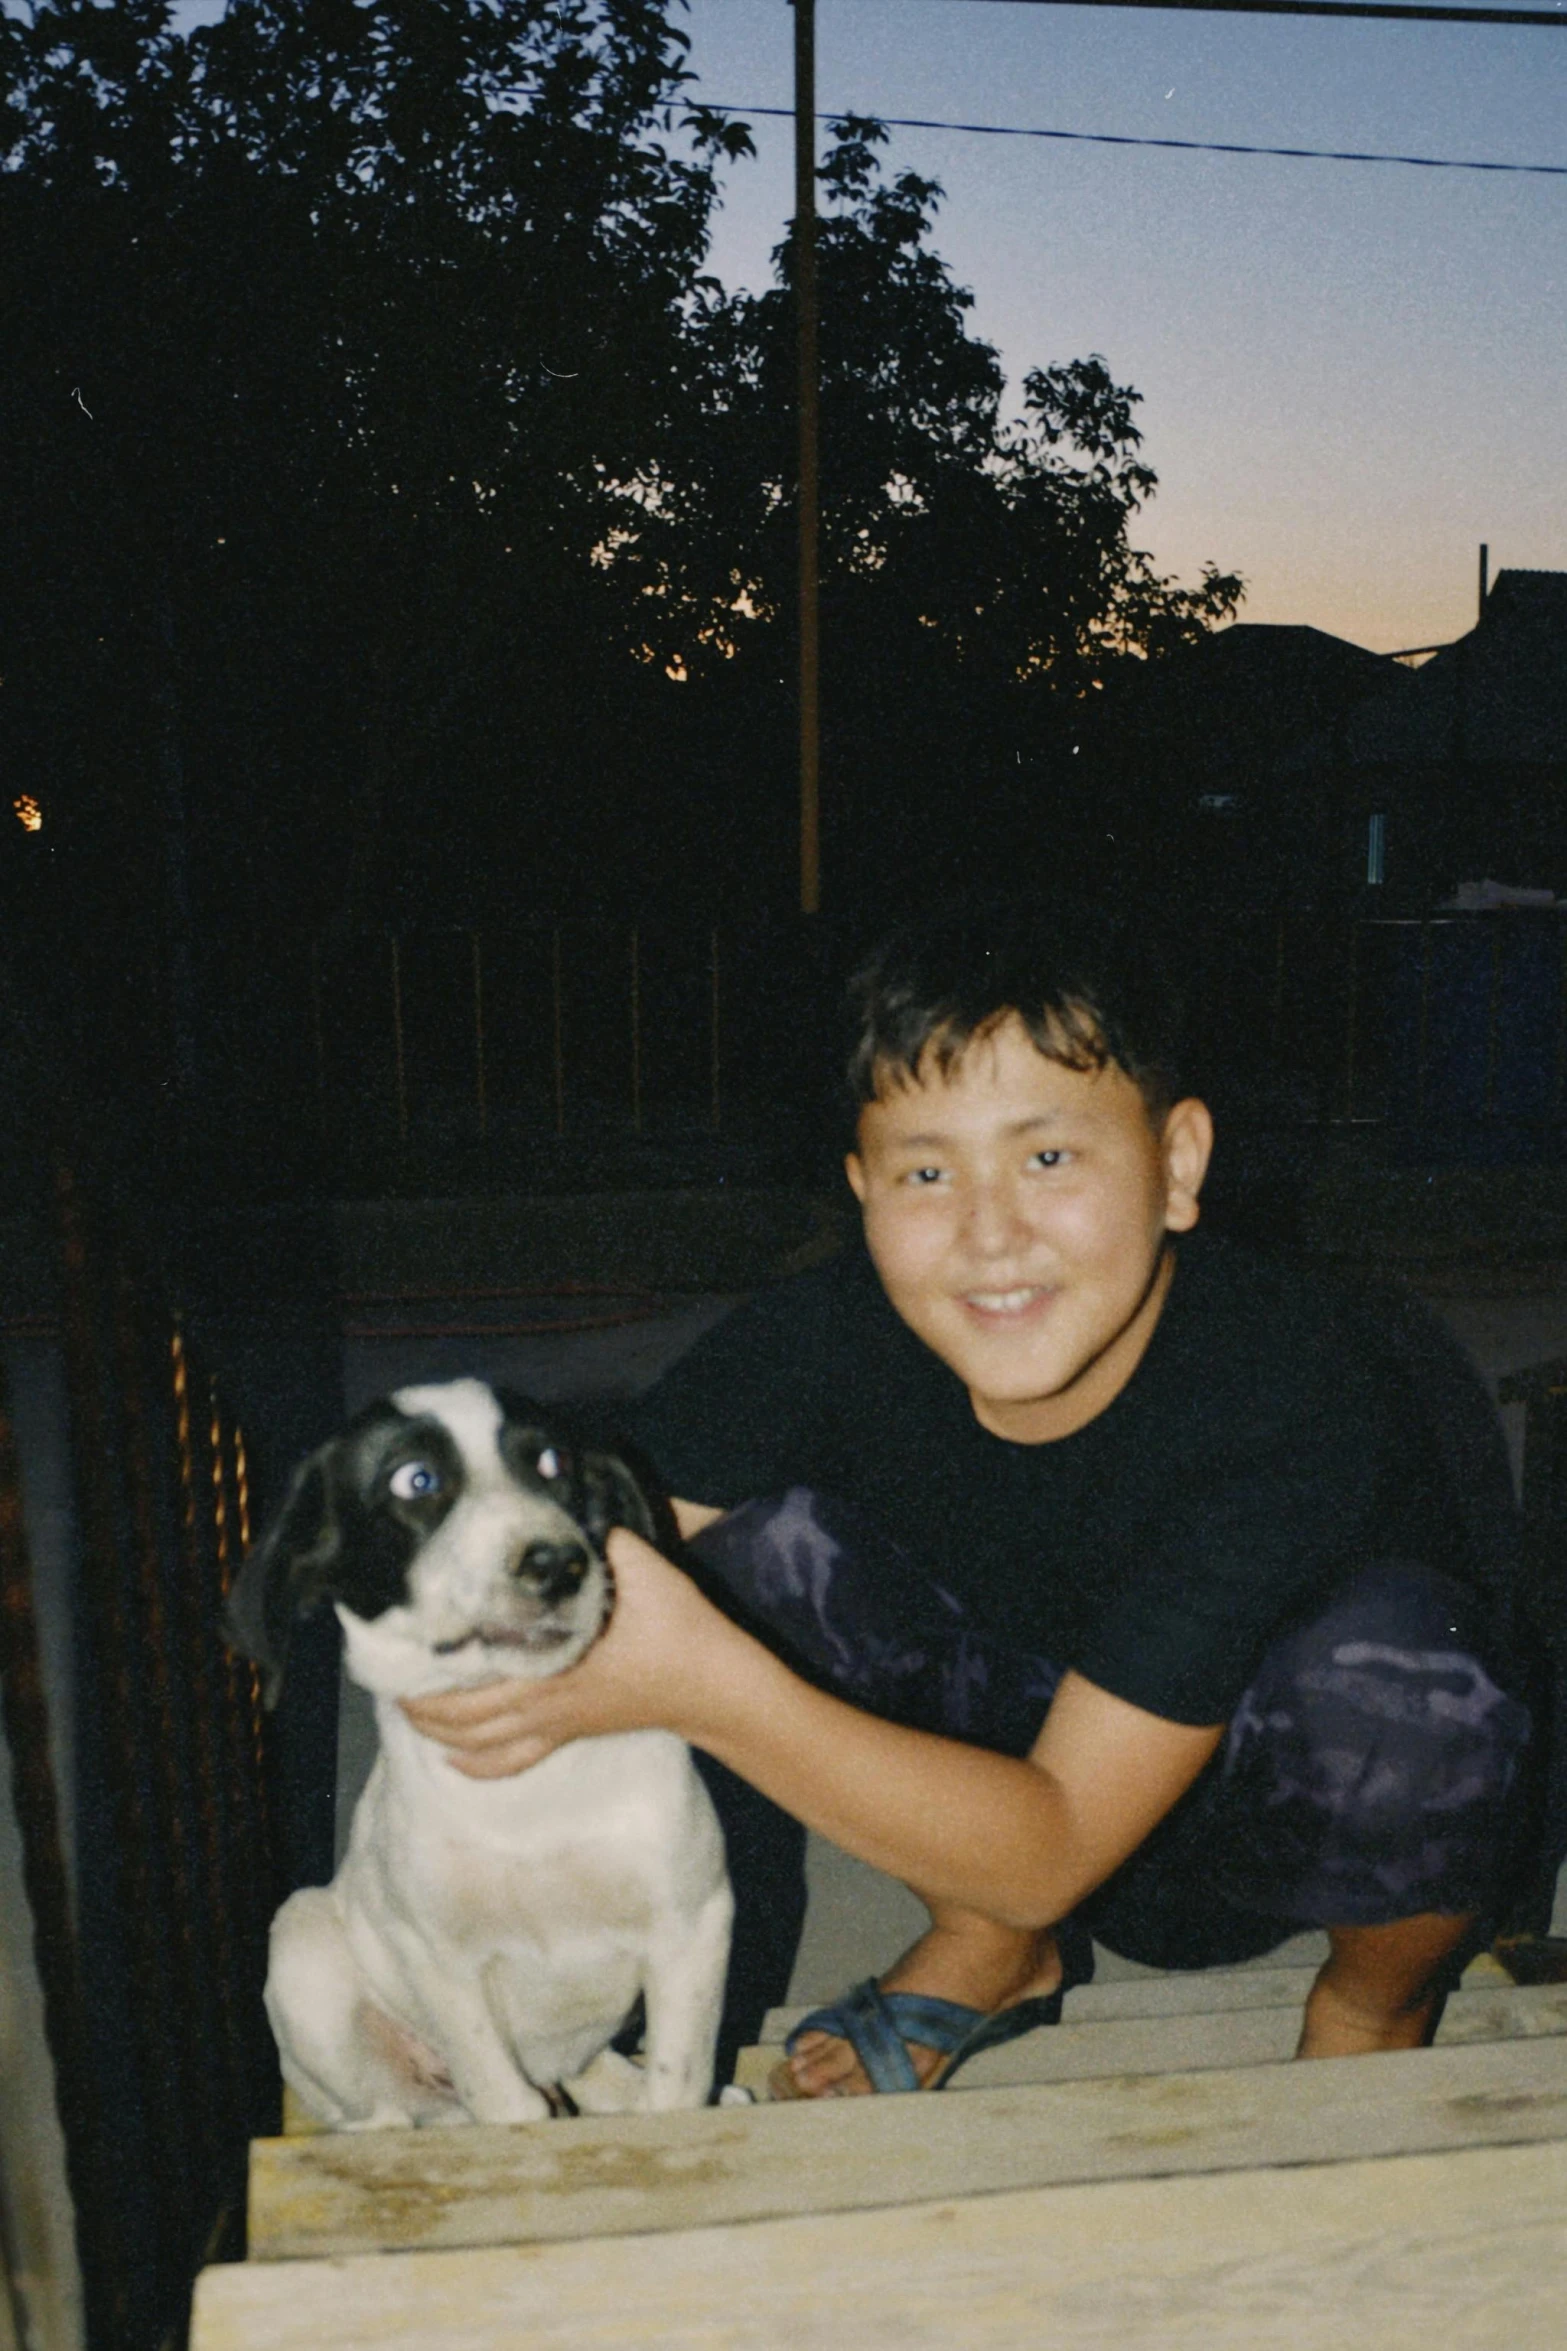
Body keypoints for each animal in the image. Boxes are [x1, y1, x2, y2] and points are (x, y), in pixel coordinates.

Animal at [227, 1372, 737, 2134]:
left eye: (553, 1464)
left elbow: (675, 2089)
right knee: (391, 2115)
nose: (560, 1564)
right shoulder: (441, 1961)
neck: (530, 1791)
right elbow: (504, 2102)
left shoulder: (693, 1921)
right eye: (416, 1479)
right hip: (301, 1943)